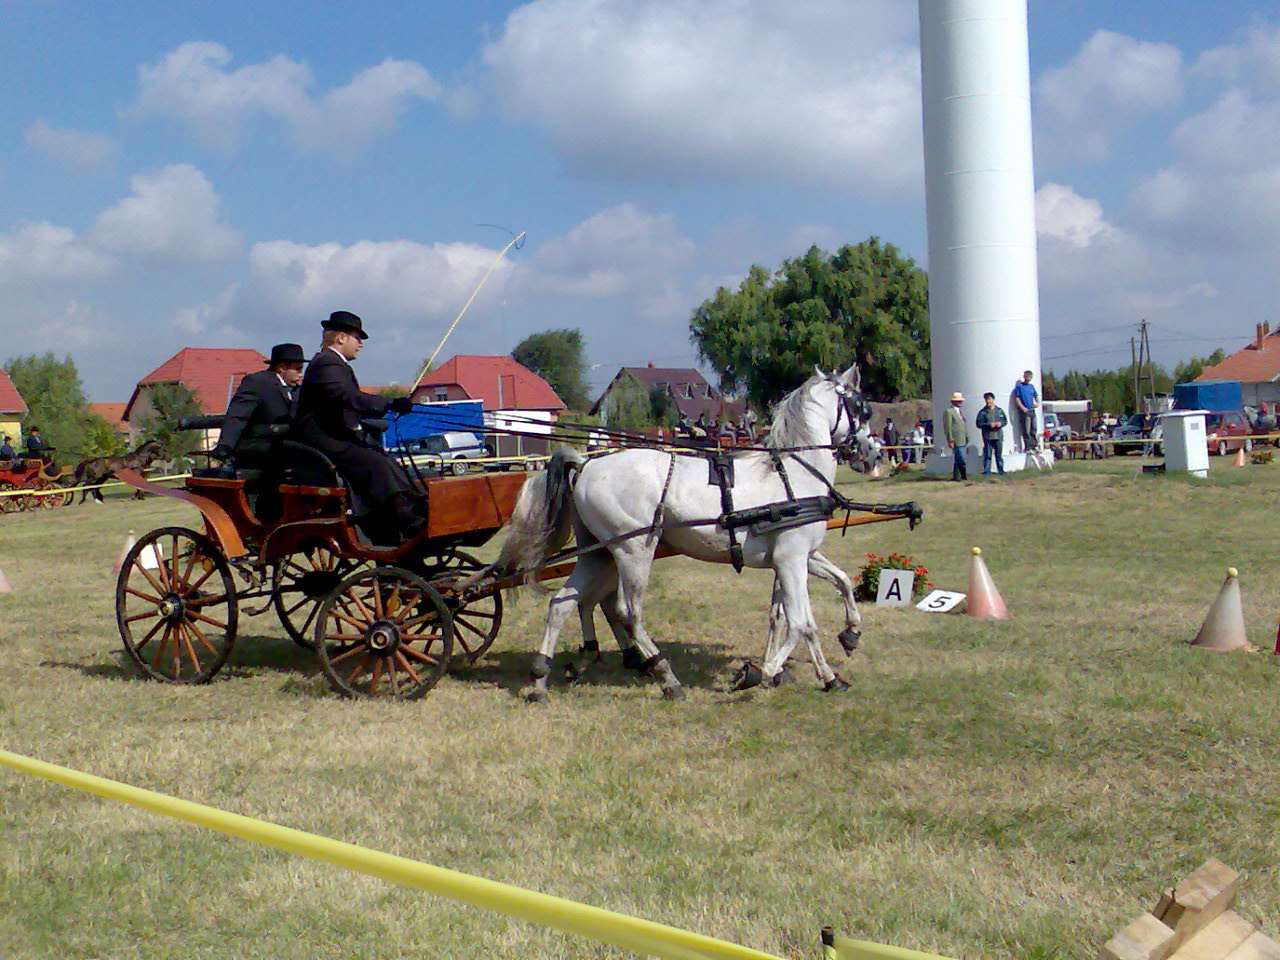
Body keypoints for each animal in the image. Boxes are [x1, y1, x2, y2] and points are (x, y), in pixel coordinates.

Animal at [496, 363, 870, 701]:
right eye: (862, 407)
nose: (871, 452)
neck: (794, 474)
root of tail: (587, 464)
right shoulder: (790, 559)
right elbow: (800, 623)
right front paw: (757, 673)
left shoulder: (801, 556)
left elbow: (837, 585)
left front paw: (842, 652)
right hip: (633, 551)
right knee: (627, 612)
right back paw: (665, 676)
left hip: (599, 553)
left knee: (563, 603)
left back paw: (542, 678)